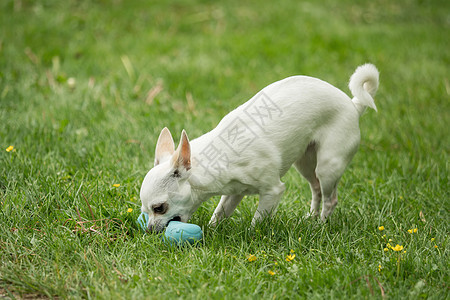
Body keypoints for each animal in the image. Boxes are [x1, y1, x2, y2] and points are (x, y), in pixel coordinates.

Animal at [139, 63, 378, 232]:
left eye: (159, 208)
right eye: (145, 211)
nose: (149, 230)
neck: (220, 157)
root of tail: (353, 105)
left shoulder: (273, 191)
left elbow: (258, 219)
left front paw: (253, 234)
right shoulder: (234, 193)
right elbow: (220, 212)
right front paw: (213, 229)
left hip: (328, 165)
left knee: (330, 198)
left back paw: (321, 225)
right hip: (306, 163)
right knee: (316, 189)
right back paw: (311, 218)